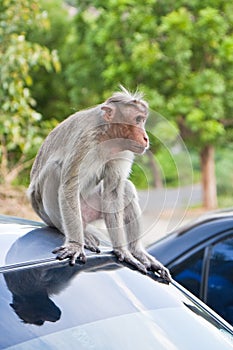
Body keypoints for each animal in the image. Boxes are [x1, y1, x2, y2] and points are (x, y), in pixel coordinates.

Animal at [27, 87, 171, 282]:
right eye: (137, 120)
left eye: (143, 120)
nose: (146, 137)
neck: (106, 135)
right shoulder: (86, 140)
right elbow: (69, 187)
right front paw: (75, 245)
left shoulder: (123, 150)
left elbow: (113, 191)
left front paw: (123, 251)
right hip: (47, 212)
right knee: (55, 171)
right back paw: (72, 233)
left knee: (125, 189)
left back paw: (137, 251)